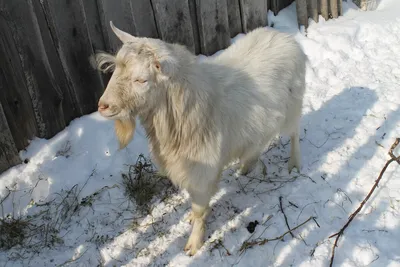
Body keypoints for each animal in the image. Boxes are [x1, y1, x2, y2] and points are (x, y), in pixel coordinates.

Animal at [93, 22, 306, 256]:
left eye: (141, 79)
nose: (103, 106)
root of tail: (284, 36)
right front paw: (193, 220)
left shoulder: (202, 170)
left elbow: (199, 207)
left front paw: (194, 244)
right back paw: (246, 166)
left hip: (292, 108)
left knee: (295, 133)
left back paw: (294, 164)